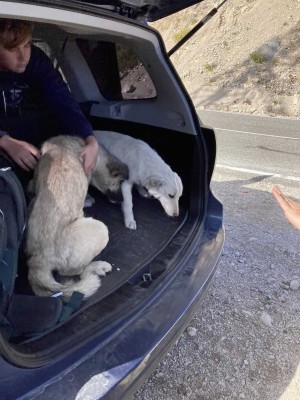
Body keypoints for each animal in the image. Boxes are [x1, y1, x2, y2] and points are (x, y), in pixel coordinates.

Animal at [26, 136, 113, 298]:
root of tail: (37, 262)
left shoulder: (33, 182)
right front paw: (88, 200)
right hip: (100, 229)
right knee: (74, 271)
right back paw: (97, 266)